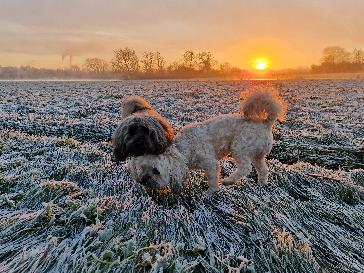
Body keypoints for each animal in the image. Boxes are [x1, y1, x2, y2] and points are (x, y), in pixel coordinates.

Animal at [129, 86, 286, 192]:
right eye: (142, 168)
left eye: (156, 171)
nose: (143, 180)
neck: (184, 148)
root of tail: (265, 123)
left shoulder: (210, 163)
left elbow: (212, 179)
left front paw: (210, 193)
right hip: (257, 155)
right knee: (263, 169)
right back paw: (261, 184)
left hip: (240, 147)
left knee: (246, 168)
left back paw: (229, 181)